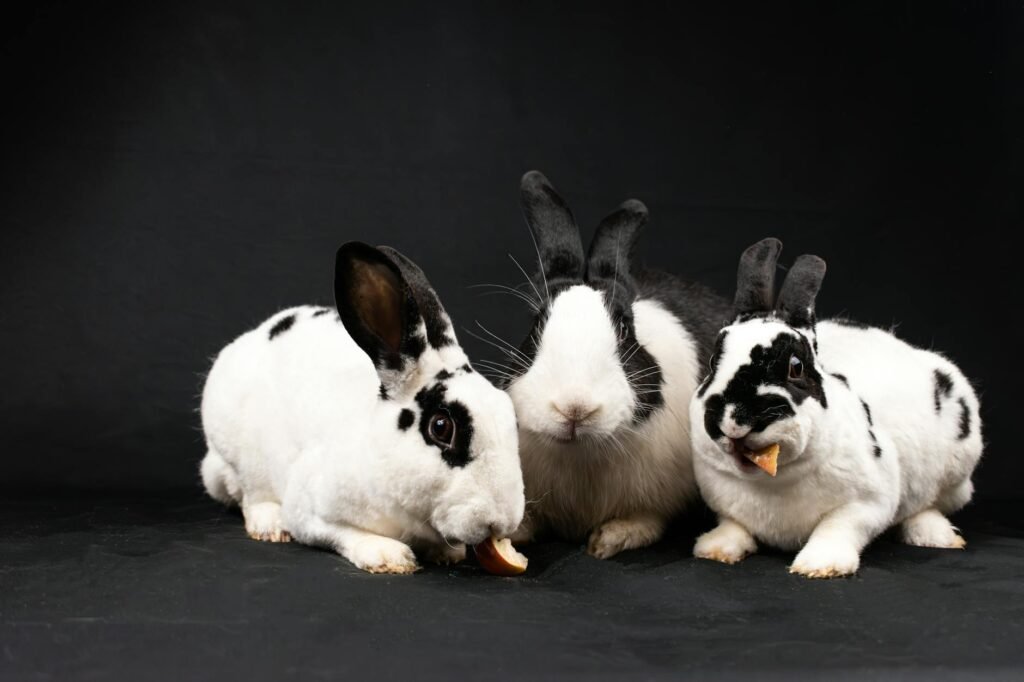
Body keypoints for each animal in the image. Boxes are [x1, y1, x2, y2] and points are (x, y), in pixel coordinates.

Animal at [200, 242, 525, 574]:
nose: (502, 522)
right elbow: (344, 532)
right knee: (251, 494)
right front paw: (388, 556)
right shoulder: (309, 510)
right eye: (441, 427)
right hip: (241, 458)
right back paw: (271, 526)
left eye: (509, 414)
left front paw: (448, 553)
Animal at [496, 171, 732, 558]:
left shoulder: (659, 498)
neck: (581, 455)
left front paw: (611, 539)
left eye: (624, 328)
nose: (574, 408)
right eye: (536, 324)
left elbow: (647, 520)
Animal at [689, 237, 983, 578]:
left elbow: (838, 527)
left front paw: (820, 565)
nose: (734, 421)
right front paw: (714, 549)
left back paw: (938, 536)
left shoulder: (868, 503)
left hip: (957, 467)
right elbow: (733, 525)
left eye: (796, 367)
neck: (772, 481)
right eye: (714, 362)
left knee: (927, 505)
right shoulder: (723, 503)